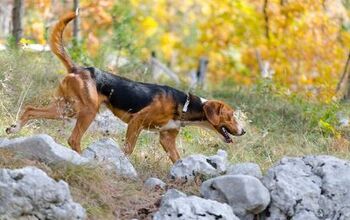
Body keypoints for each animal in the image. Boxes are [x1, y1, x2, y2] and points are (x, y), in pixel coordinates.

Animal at [5, 11, 246, 162]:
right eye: (231, 116)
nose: (243, 131)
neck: (184, 105)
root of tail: (79, 68)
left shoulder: (167, 139)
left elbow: (177, 160)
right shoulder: (136, 122)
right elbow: (128, 149)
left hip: (66, 108)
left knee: (30, 109)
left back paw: (14, 129)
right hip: (86, 110)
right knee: (73, 139)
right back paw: (82, 158)